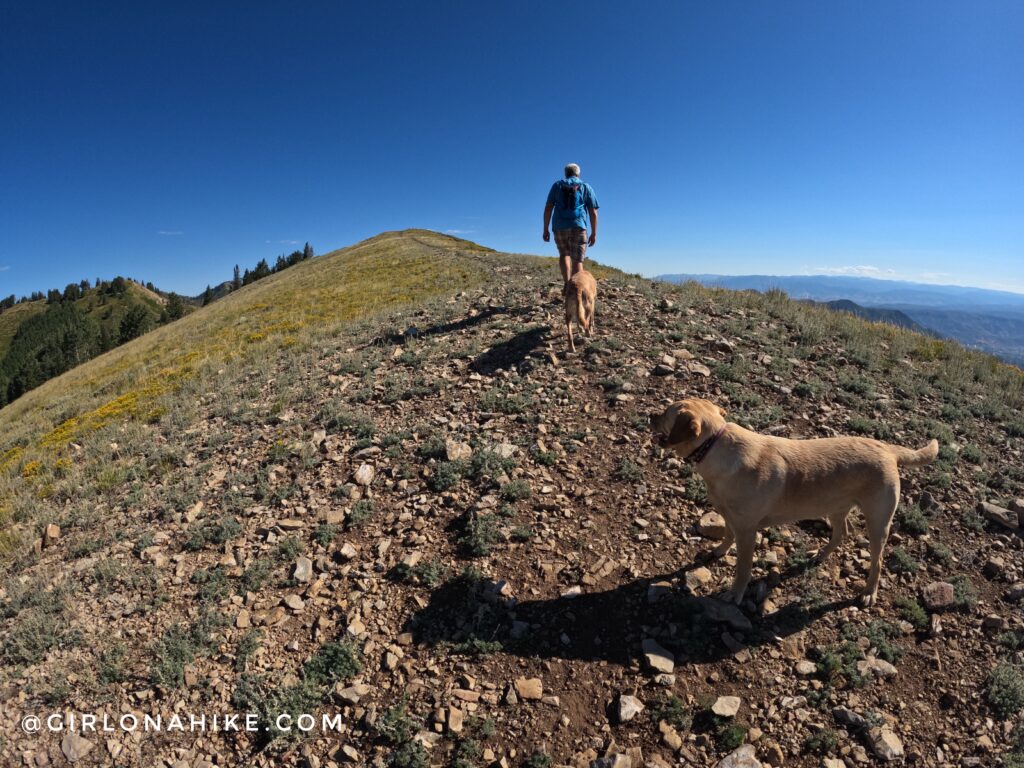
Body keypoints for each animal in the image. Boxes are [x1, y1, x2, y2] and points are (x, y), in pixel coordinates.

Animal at [651, 397, 937, 606]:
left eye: (666, 413)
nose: (650, 415)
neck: (714, 445)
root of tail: (888, 448)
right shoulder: (729, 516)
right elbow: (727, 535)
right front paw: (720, 550)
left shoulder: (747, 531)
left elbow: (743, 569)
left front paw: (735, 593)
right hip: (834, 506)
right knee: (841, 532)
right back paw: (820, 555)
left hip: (878, 522)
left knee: (877, 560)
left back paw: (869, 592)